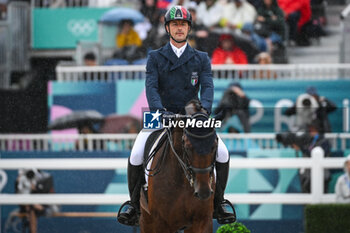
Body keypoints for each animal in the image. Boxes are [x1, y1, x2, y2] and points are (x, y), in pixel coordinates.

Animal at [139, 101, 216, 233]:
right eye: (187, 146)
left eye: (214, 145)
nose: (204, 192)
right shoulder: (160, 223)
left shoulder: (202, 221)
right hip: (147, 220)